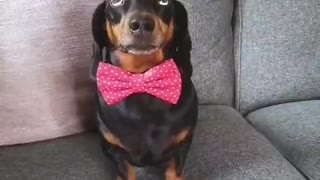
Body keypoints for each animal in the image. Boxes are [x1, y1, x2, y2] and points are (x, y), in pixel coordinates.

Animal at [88, 0, 198, 179]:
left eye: (164, 1)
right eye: (115, 2)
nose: (141, 24)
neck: (141, 75)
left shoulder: (183, 143)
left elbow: (174, 170)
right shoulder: (111, 148)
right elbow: (126, 170)